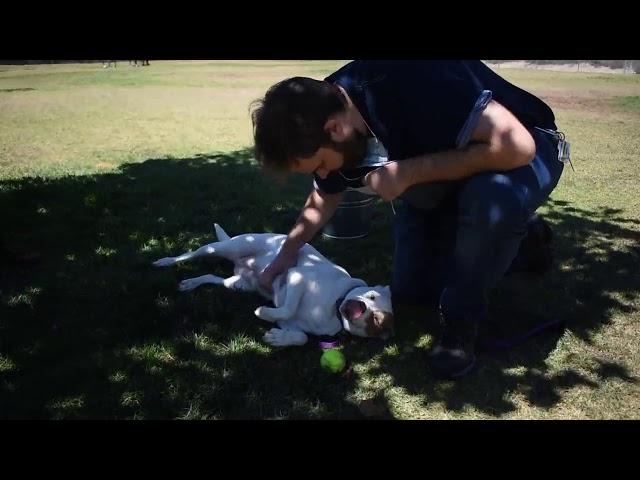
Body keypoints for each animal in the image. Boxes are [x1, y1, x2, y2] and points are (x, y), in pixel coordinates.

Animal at [154, 223, 396, 346]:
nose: (361, 306)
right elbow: (287, 307)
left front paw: (278, 338)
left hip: (237, 284)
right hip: (226, 247)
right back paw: (165, 261)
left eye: (376, 320)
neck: (334, 308)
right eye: (371, 296)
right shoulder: (298, 276)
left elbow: (301, 337)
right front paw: (263, 312)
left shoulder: (291, 323)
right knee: (193, 253)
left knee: (212, 278)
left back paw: (190, 283)